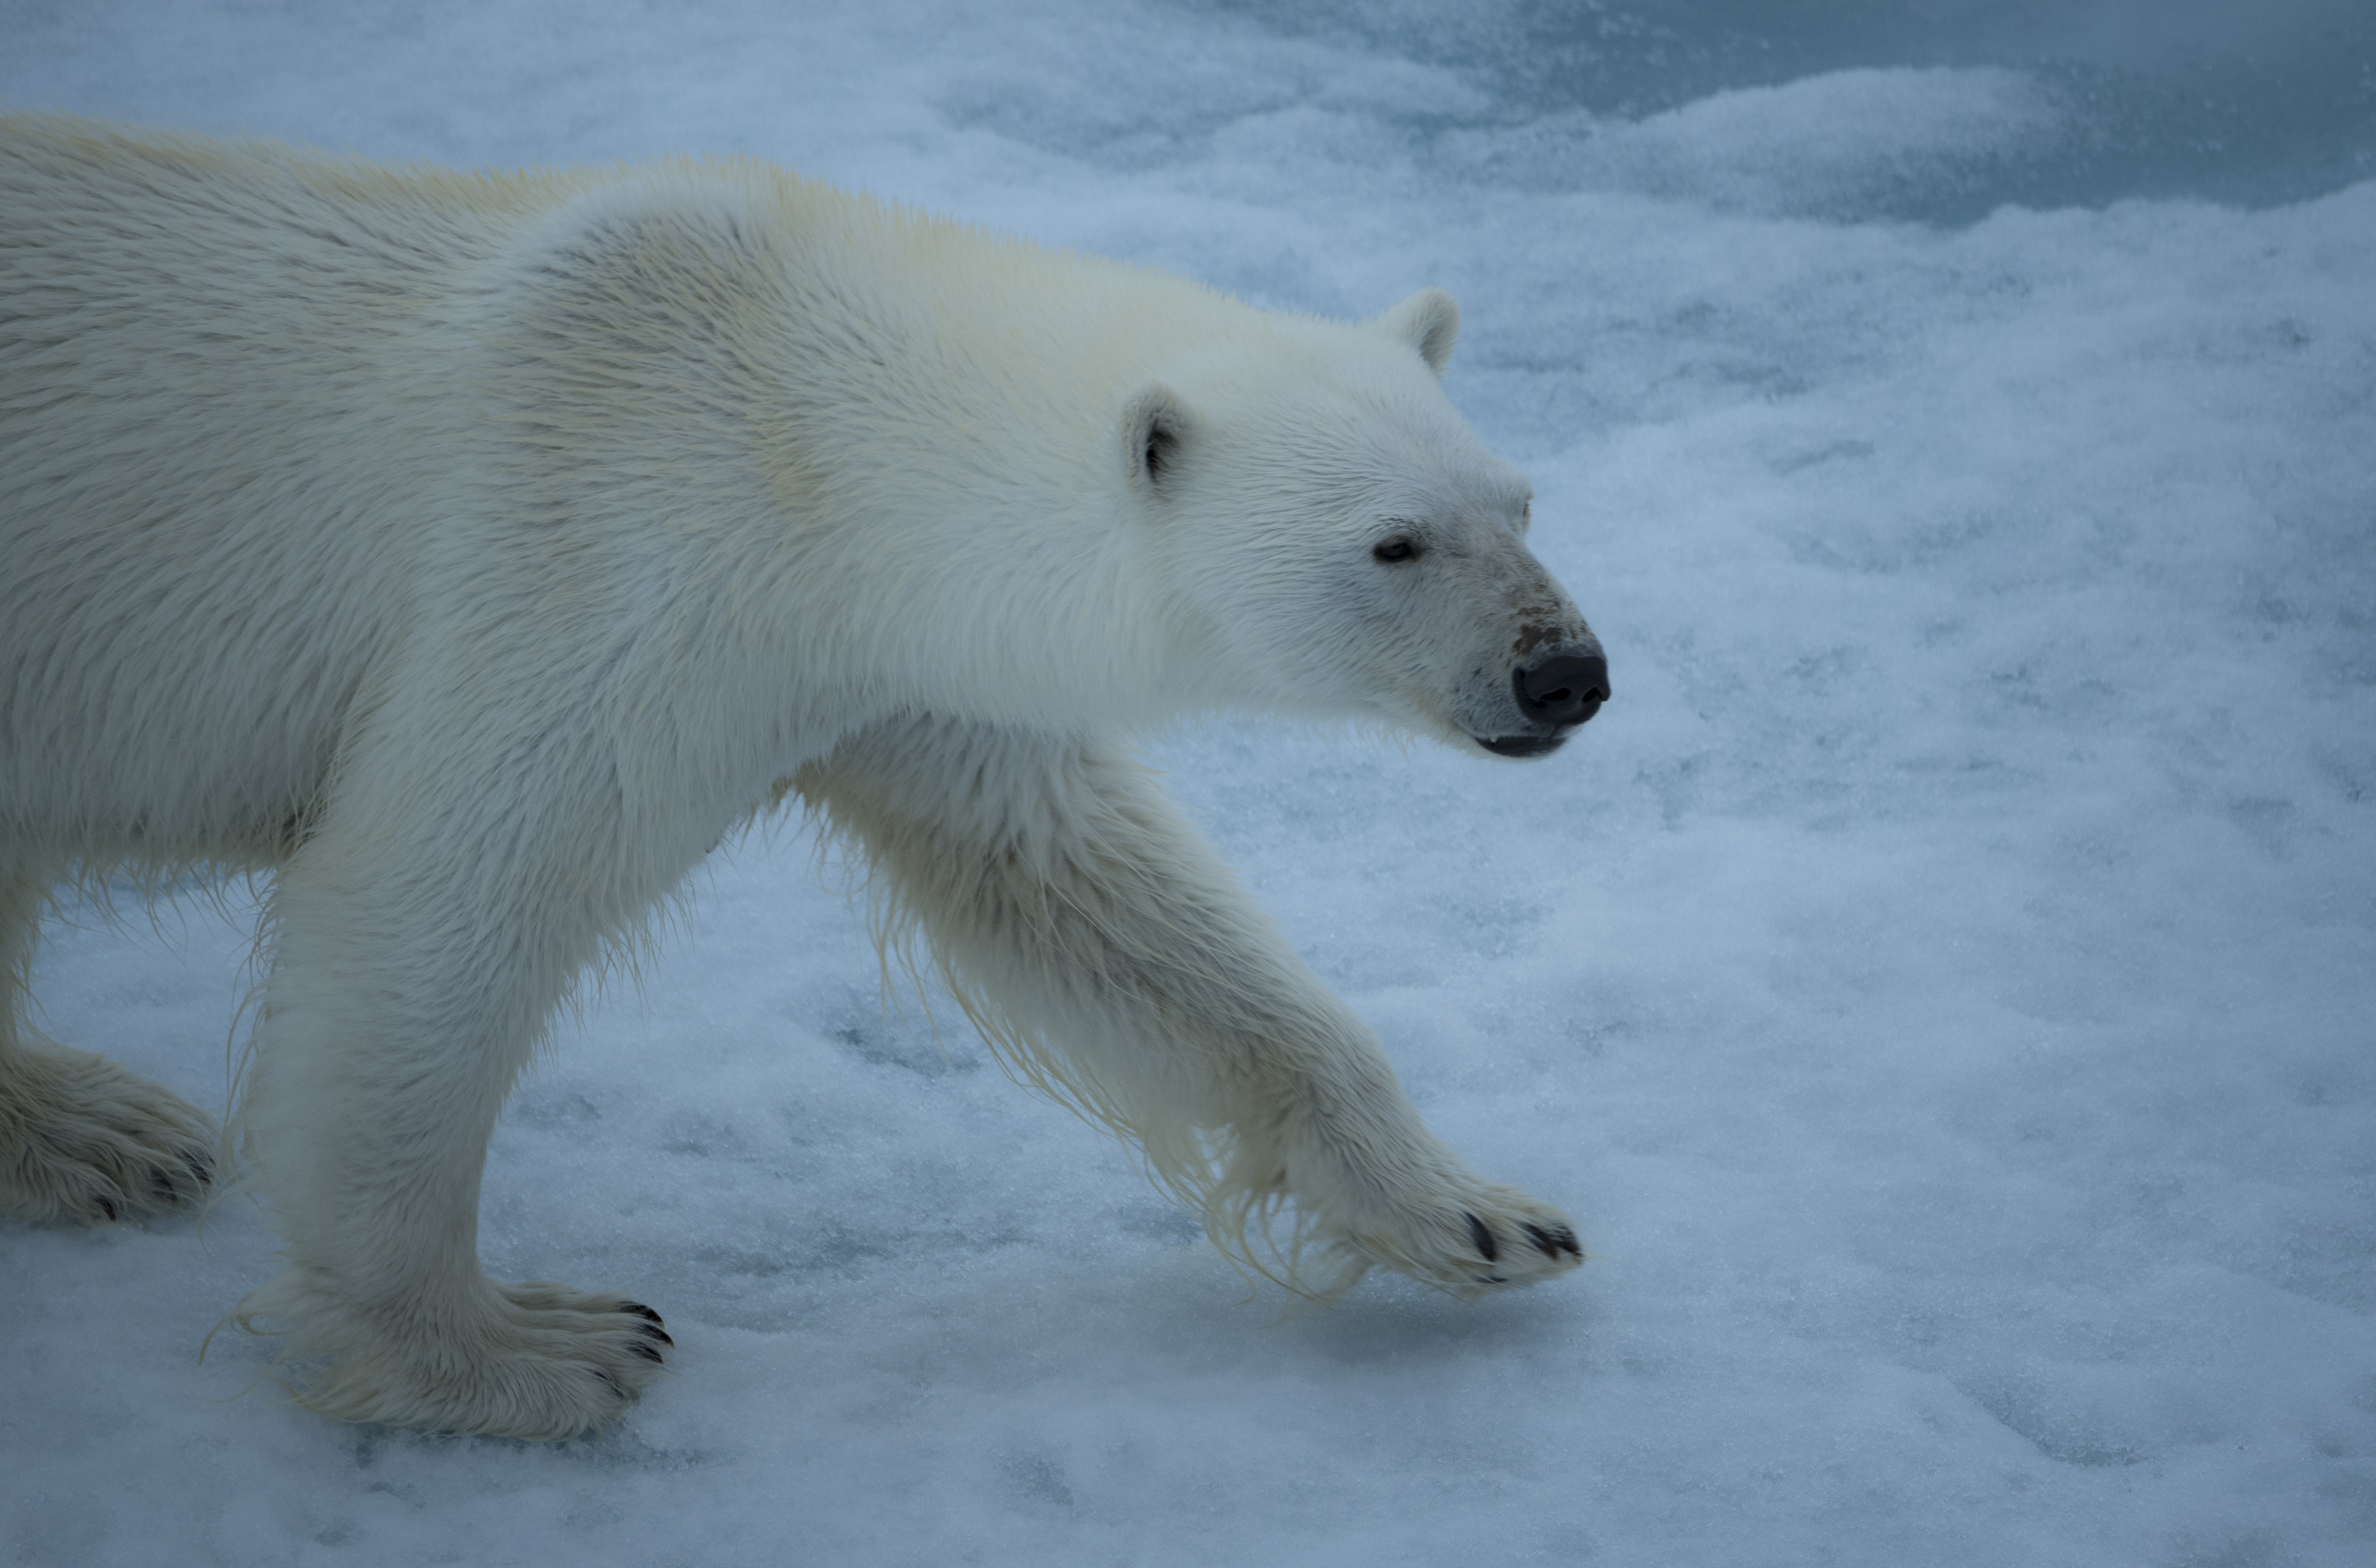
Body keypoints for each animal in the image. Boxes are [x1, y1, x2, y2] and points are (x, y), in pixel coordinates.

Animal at [0, 119, 1615, 1444]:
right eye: (1394, 542)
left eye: (1520, 501)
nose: (1566, 674)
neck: (792, 411)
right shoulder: (592, 562)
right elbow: (434, 894)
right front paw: (532, 1348)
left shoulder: (888, 667)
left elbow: (1085, 885)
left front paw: (1478, 1214)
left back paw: (92, 1128)